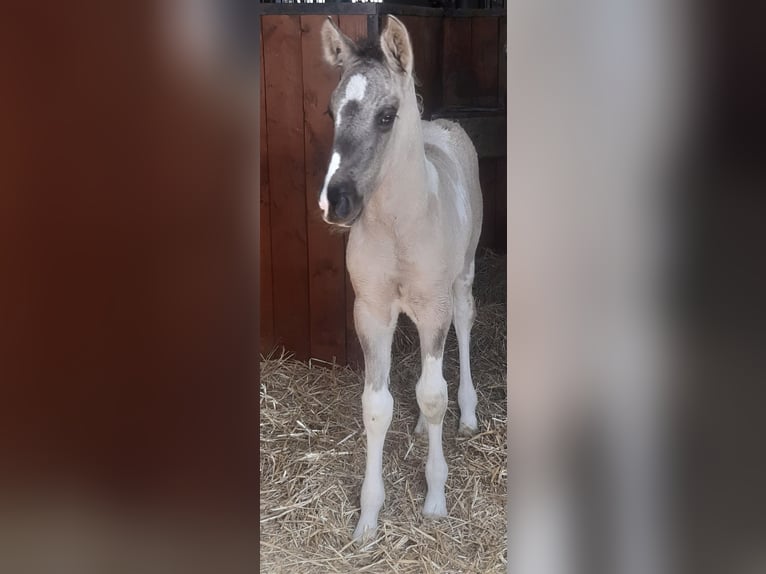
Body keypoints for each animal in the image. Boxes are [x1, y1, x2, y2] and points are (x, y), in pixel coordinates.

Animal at [320, 15, 484, 544]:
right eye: (331, 111)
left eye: (387, 115)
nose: (336, 202)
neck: (399, 225)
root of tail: (445, 125)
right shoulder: (371, 311)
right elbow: (377, 406)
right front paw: (368, 517)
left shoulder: (433, 306)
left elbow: (433, 397)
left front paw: (434, 499)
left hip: (463, 277)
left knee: (464, 328)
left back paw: (468, 413)